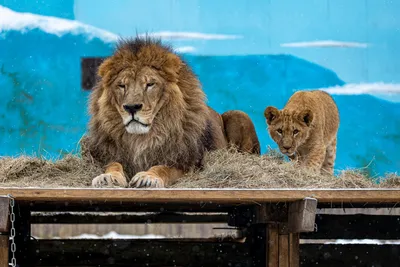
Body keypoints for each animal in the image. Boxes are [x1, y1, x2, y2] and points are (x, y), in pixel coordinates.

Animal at [85, 37, 260, 188]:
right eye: (122, 85)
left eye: (150, 84)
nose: (132, 107)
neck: (142, 138)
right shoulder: (113, 156)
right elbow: (113, 164)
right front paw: (107, 177)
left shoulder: (187, 164)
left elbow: (163, 168)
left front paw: (148, 177)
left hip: (238, 114)